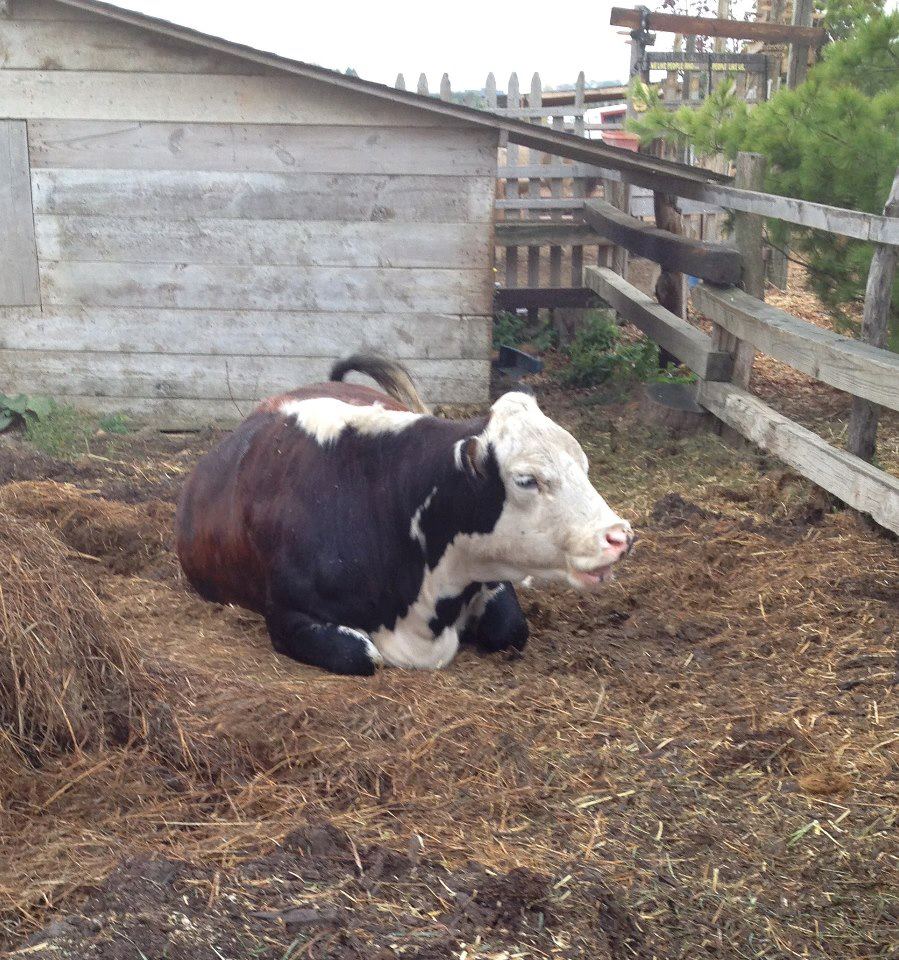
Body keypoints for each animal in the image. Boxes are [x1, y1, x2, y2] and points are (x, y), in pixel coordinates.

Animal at [178, 356, 632, 680]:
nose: (619, 536)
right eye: (526, 479)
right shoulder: (287, 614)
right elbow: (361, 654)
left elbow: (511, 629)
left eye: (584, 465)